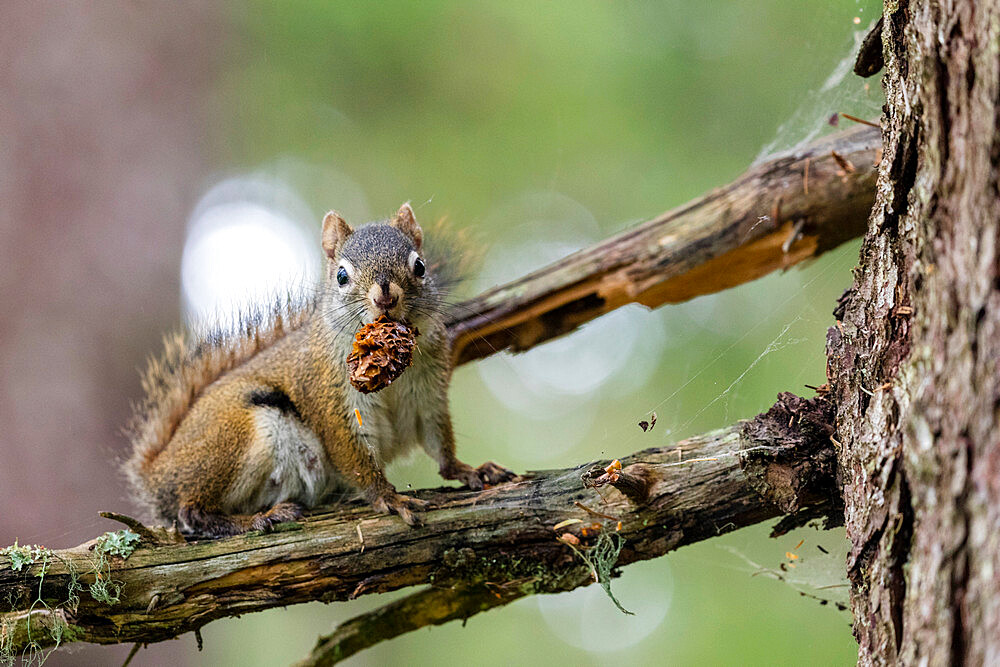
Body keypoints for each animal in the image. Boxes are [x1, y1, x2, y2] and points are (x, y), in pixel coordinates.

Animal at [125, 202, 516, 536]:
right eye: (341, 275)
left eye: (420, 266)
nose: (385, 296)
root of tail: (157, 476)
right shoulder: (331, 399)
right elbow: (353, 455)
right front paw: (389, 497)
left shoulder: (428, 392)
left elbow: (439, 440)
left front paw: (468, 469)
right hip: (235, 434)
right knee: (190, 512)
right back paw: (257, 519)